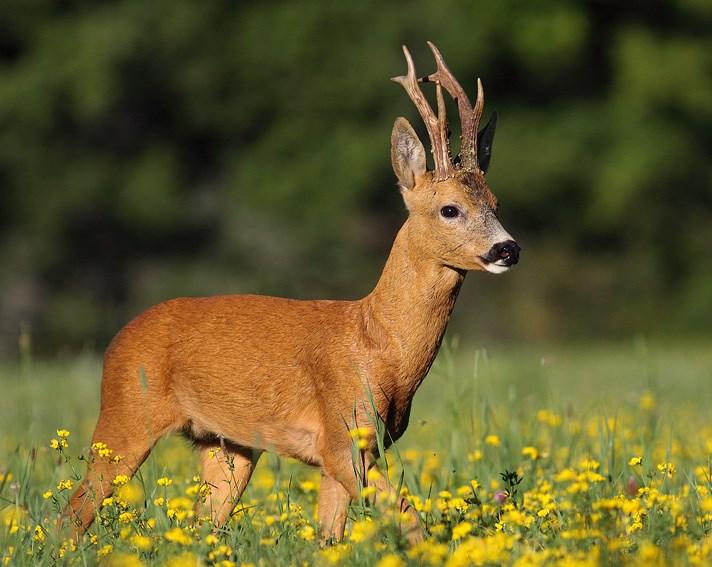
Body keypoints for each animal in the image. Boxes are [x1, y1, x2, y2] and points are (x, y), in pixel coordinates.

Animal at [65, 41, 524, 544]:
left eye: (496, 203)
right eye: (450, 209)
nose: (507, 249)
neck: (380, 344)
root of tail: (116, 340)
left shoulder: (353, 449)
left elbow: (330, 537)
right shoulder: (341, 436)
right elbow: (408, 516)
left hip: (227, 445)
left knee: (201, 524)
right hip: (126, 414)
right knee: (72, 510)